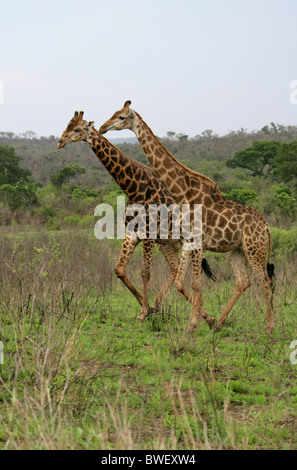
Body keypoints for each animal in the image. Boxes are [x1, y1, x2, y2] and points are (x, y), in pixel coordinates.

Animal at [57, 111, 215, 326]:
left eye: (77, 129)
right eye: (67, 125)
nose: (60, 142)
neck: (133, 187)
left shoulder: (148, 235)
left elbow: (145, 273)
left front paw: (143, 311)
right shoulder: (133, 233)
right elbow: (119, 269)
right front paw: (146, 306)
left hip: (186, 243)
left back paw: (204, 315)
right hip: (168, 244)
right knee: (175, 271)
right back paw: (196, 314)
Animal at [99, 100, 276, 334]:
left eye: (121, 117)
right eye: (113, 113)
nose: (102, 127)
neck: (184, 191)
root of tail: (265, 225)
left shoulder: (196, 241)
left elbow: (195, 283)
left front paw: (192, 324)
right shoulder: (188, 242)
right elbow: (184, 282)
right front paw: (197, 321)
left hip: (255, 249)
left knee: (264, 281)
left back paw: (269, 327)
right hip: (236, 252)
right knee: (243, 282)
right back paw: (220, 323)